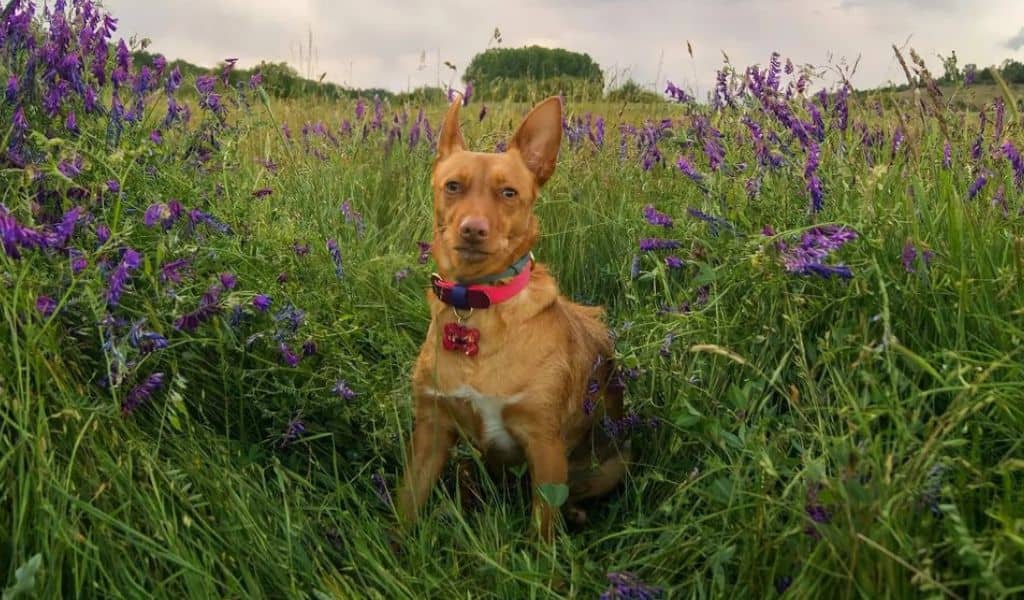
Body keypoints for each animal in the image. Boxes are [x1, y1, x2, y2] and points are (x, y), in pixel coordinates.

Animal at [395, 95, 626, 540]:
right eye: (453, 186)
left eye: (508, 192)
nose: (473, 229)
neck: (476, 306)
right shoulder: (431, 429)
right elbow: (407, 504)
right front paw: (396, 545)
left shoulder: (544, 445)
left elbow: (543, 532)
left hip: (611, 467)